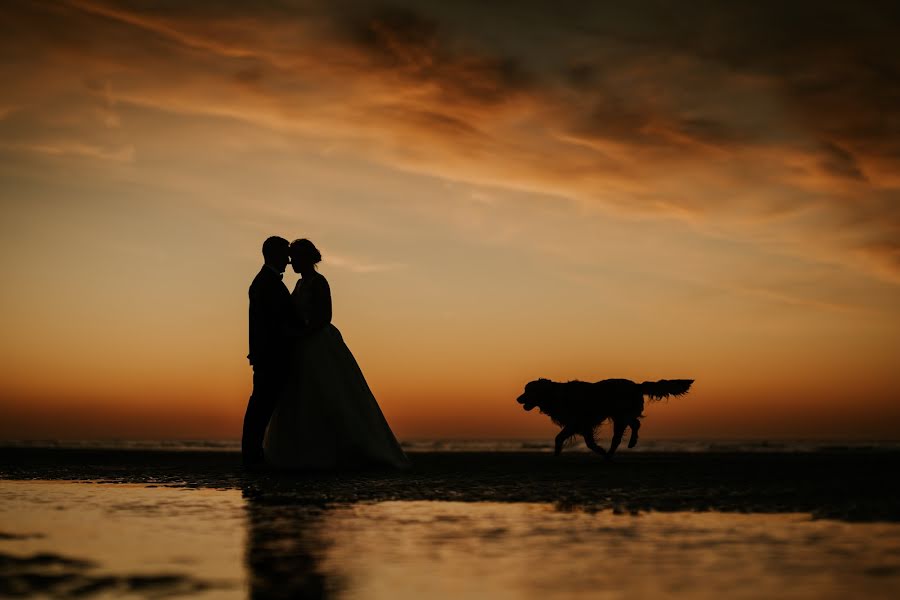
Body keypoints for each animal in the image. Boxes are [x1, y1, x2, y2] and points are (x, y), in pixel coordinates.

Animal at [516, 378, 692, 458]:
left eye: (527, 391)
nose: (517, 399)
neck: (555, 395)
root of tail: (636, 385)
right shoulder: (580, 425)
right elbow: (566, 439)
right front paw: (557, 454)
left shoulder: (579, 422)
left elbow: (567, 439)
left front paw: (599, 450)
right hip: (621, 415)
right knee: (635, 424)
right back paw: (626, 445)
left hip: (620, 416)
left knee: (620, 435)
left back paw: (612, 453)